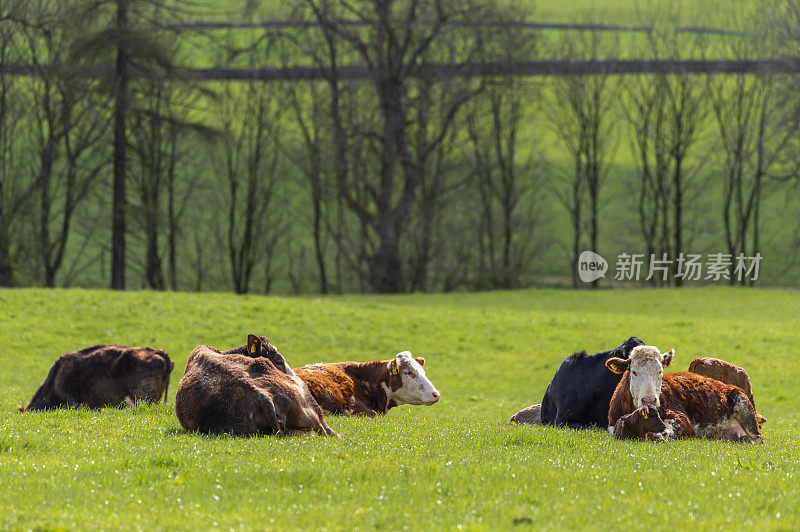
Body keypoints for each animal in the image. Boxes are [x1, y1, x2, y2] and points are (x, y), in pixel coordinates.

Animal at [608, 342, 764, 442]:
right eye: (634, 372)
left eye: (660, 371)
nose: (649, 400)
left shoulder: (683, 423)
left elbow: (665, 432)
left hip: (746, 411)